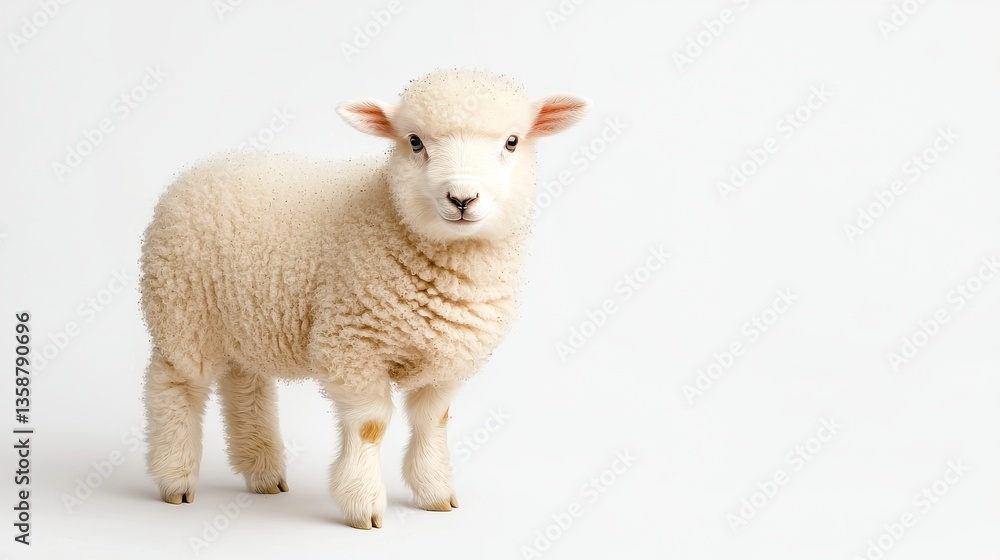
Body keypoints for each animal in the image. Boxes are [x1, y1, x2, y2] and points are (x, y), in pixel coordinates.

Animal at [139, 68, 589, 529]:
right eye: (414, 141)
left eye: (512, 141)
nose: (462, 198)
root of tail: (201, 168)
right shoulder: (352, 345)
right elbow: (370, 426)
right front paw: (364, 505)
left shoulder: (447, 355)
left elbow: (433, 420)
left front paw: (435, 493)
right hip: (182, 308)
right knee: (174, 384)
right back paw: (175, 477)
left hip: (244, 318)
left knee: (245, 385)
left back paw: (263, 473)